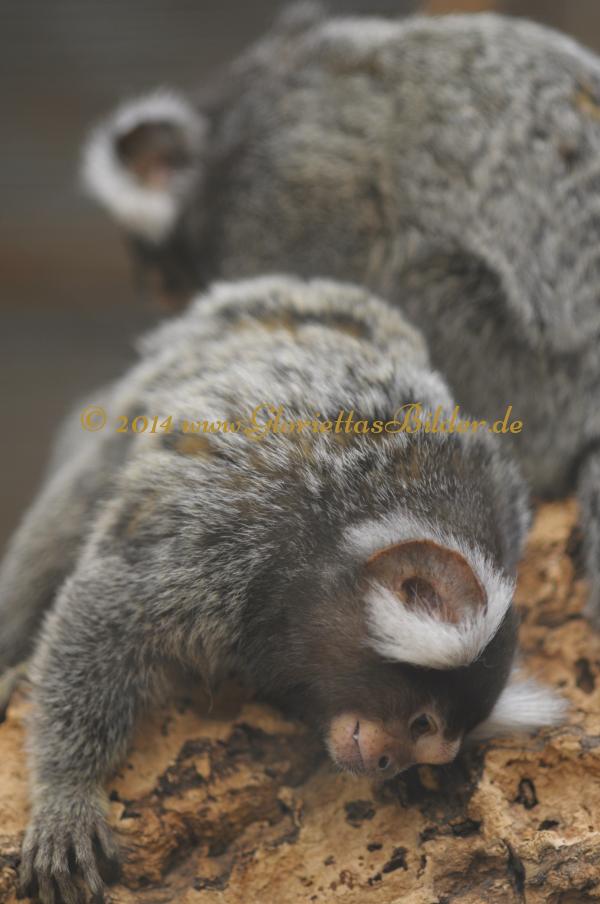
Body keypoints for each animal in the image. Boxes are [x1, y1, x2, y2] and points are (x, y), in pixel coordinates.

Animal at [0, 276, 563, 902]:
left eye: (427, 752)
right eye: (421, 724)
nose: (389, 763)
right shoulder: (226, 536)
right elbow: (108, 606)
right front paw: (67, 795)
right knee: (74, 510)